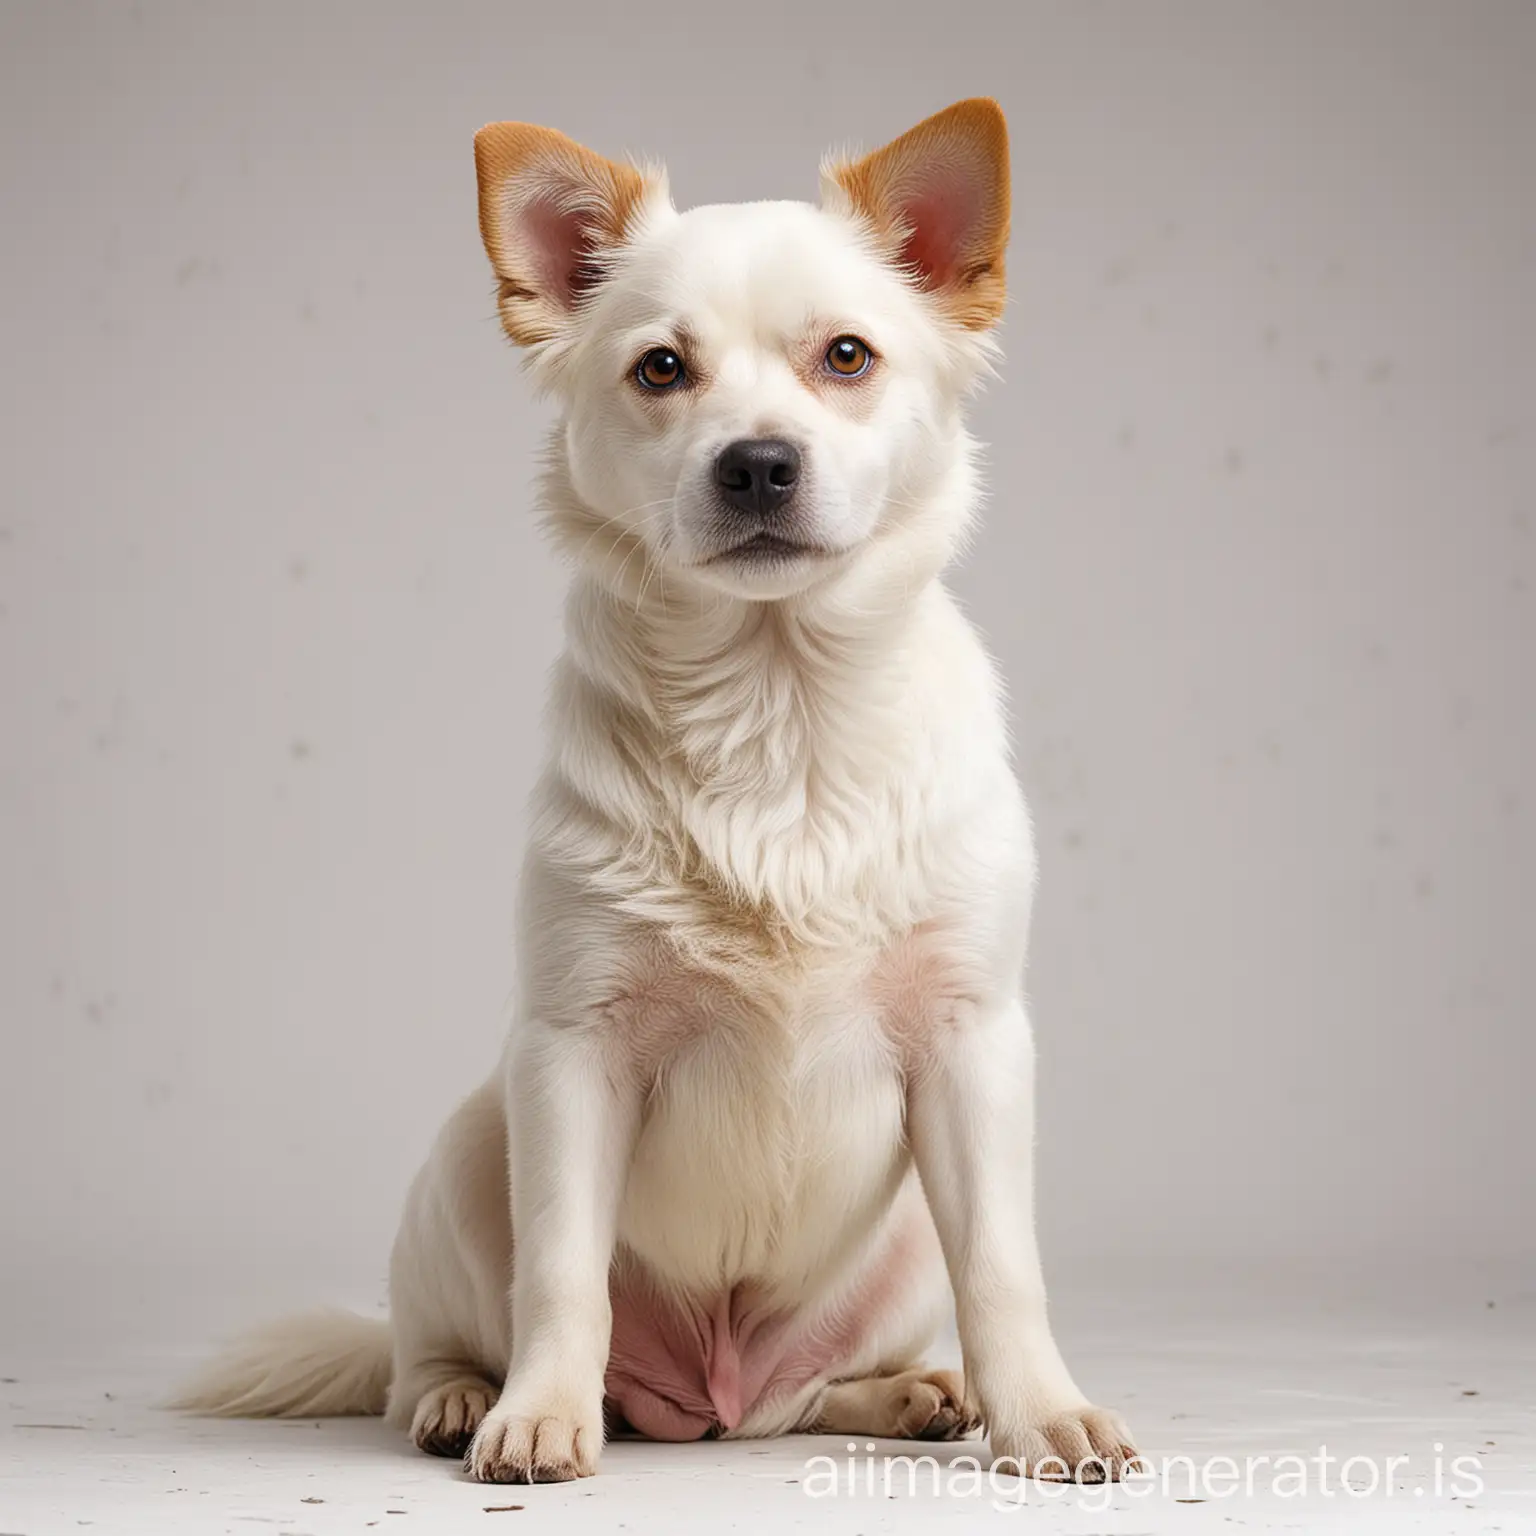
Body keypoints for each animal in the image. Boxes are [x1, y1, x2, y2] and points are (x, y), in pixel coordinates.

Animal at [179, 99, 1142, 1486]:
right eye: (660, 371)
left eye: (846, 356)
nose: (757, 464)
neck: (776, 707)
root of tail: (710, 1391)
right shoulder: (572, 1051)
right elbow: (560, 1273)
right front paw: (538, 1416)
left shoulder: (972, 1047)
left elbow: (1005, 1270)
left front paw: (1040, 1412)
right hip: (469, 1150)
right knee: (425, 1344)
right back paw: (463, 1397)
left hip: (897, 1234)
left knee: (806, 1396)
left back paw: (911, 1393)